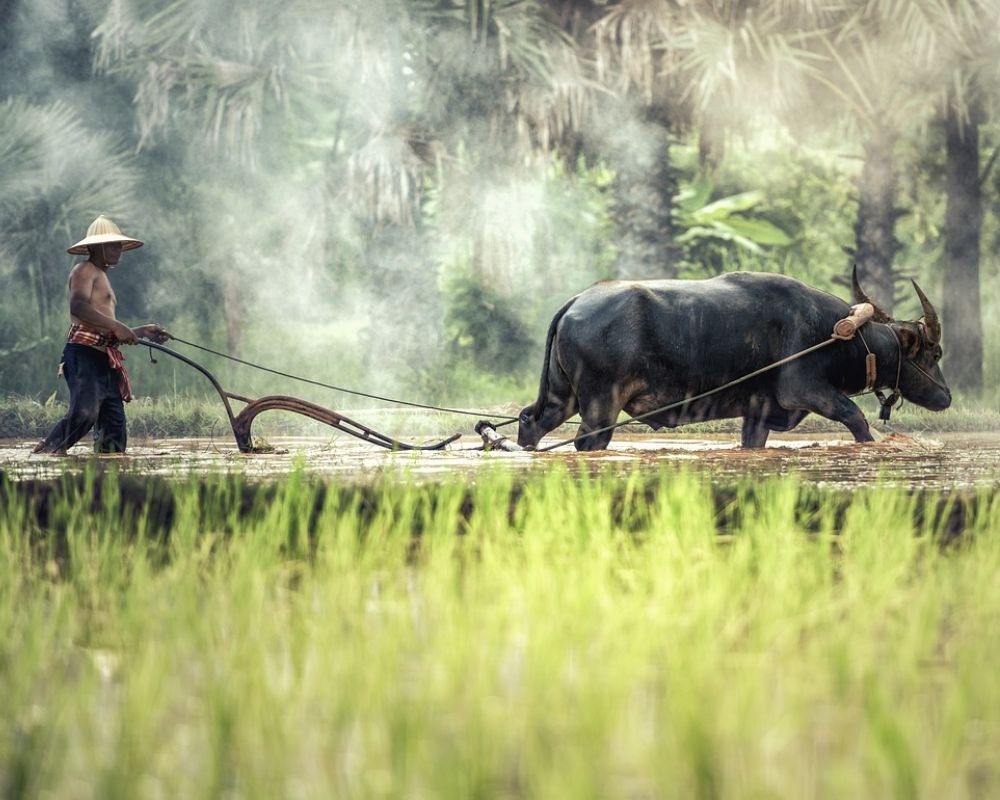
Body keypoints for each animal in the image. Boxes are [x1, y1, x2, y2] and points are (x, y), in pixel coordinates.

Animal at [520, 270, 948, 450]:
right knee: (587, 441)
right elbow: (856, 419)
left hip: (561, 397)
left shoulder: (758, 413)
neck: (838, 333)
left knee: (531, 421)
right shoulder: (807, 390)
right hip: (600, 406)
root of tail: (576, 302)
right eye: (934, 353)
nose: (946, 396)